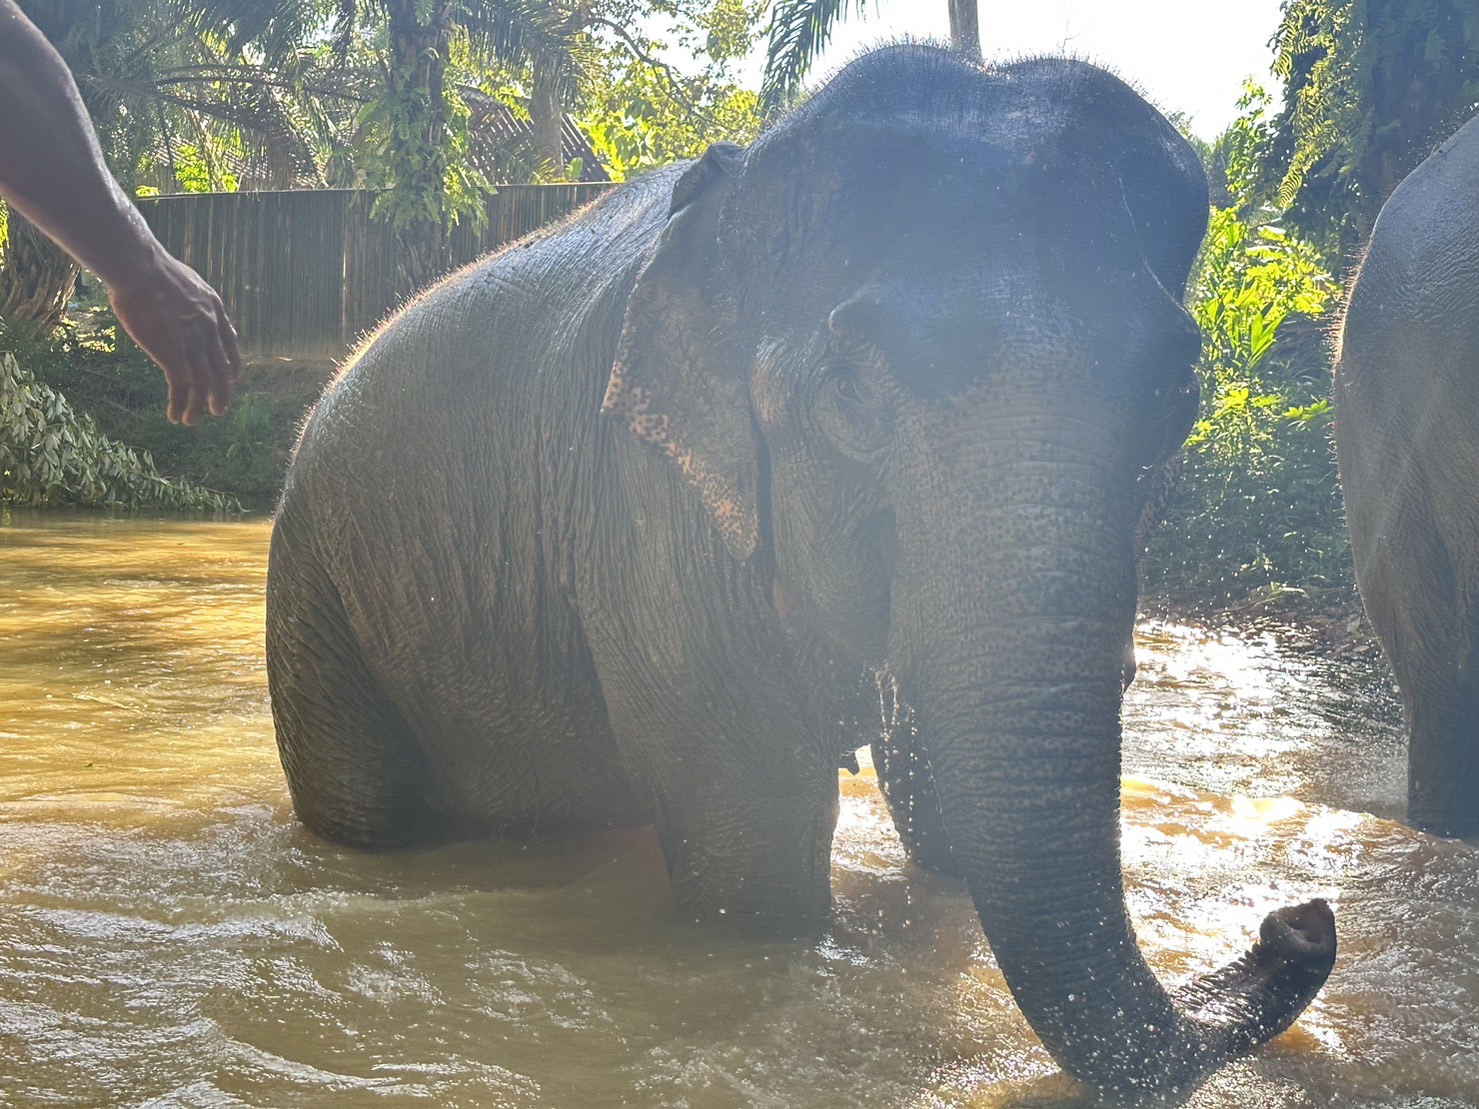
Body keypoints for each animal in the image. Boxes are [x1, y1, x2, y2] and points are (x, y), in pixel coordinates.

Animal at [266, 45, 1336, 1091]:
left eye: (1176, 396)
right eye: (850, 392)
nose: (1301, 916)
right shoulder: (657, 515)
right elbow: (757, 867)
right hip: (313, 586)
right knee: (367, 811)